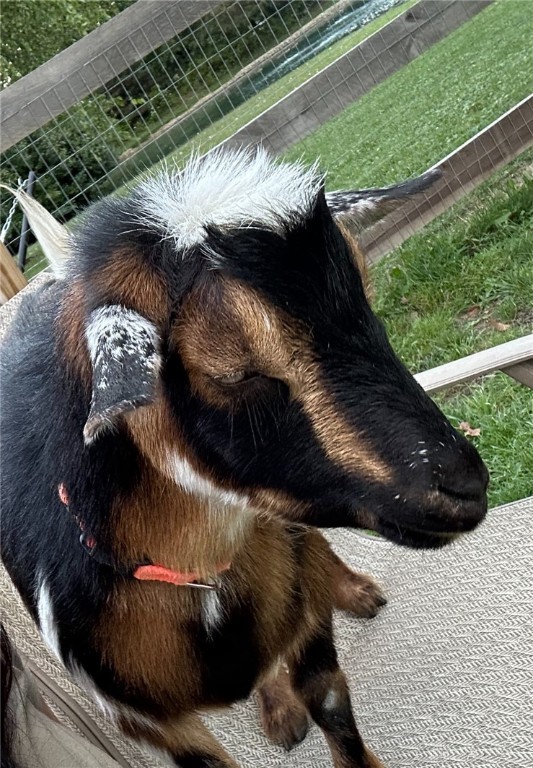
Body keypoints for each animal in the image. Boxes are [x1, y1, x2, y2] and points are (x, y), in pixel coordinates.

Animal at [0, 149, 488, 767]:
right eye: (233, 371)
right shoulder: (144, 720)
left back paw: (354, 593)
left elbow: (330, 701)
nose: (466, 485)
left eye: (367, 294)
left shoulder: (304, 613)